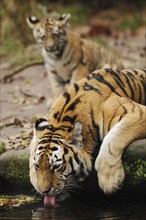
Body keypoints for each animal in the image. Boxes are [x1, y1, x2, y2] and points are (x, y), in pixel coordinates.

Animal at [29, 68, 145, 207]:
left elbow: (113, 138)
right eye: (37, 166)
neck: (61, 120)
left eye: (56, 166)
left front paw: (109, 180)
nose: (43, 191)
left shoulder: (137, 112)